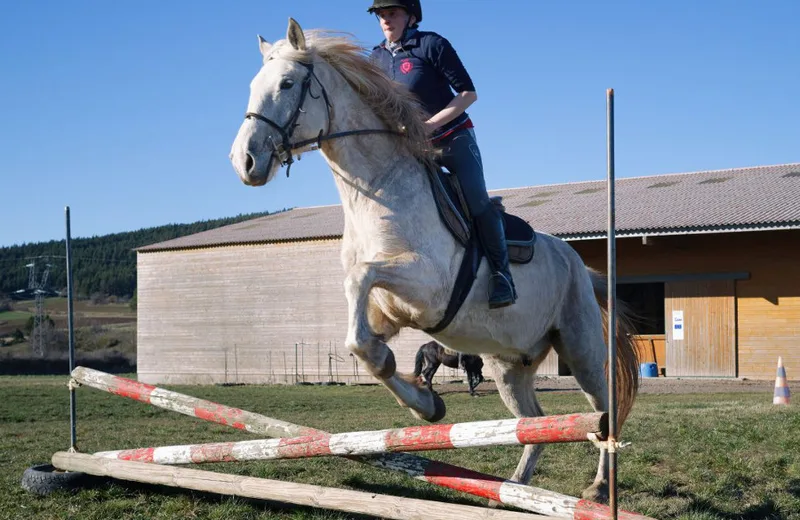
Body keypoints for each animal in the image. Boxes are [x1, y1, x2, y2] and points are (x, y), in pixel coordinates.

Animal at [230, 20, 636, 504]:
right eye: (252, 86)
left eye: (288, 84)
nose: (244, 161)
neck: (378, 192)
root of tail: (579, 264)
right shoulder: (388, 314)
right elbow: (363, 347)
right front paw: (426, 404)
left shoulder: (428, 288)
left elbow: (359, 280)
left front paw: (421, 397)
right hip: (508, 365)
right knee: (534, 422)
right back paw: (514, 489)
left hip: (580, 348)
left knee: (603, 410)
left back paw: (597, 488)